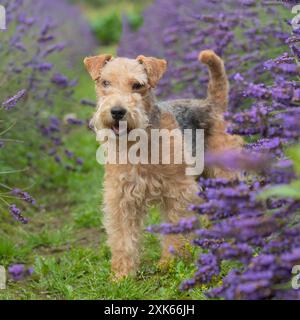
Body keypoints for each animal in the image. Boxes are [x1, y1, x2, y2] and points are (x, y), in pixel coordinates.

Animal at [83, 49, 243, 278]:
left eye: (137, 85)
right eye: (105, 82)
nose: (117, 112)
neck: (138, 143)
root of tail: (212, 104)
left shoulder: (178, 191)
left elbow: (175, 231)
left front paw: (171, 263)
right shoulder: (121, 197)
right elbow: (123, 238)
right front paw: (122, 275)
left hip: (225, 173)